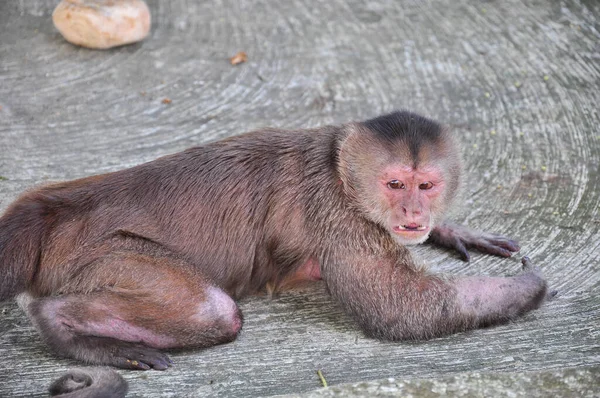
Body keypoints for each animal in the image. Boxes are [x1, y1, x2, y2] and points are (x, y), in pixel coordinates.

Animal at [1, 110, 552, 396]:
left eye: (426, 186)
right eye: (395, 184)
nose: (414, 211)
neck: (338, 165)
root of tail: (50, 207)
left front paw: (453, 230)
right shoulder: (336, 212)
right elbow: (399, 310)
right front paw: (525, 290)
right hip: (96, 255)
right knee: (215, 311)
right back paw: (60, 325)